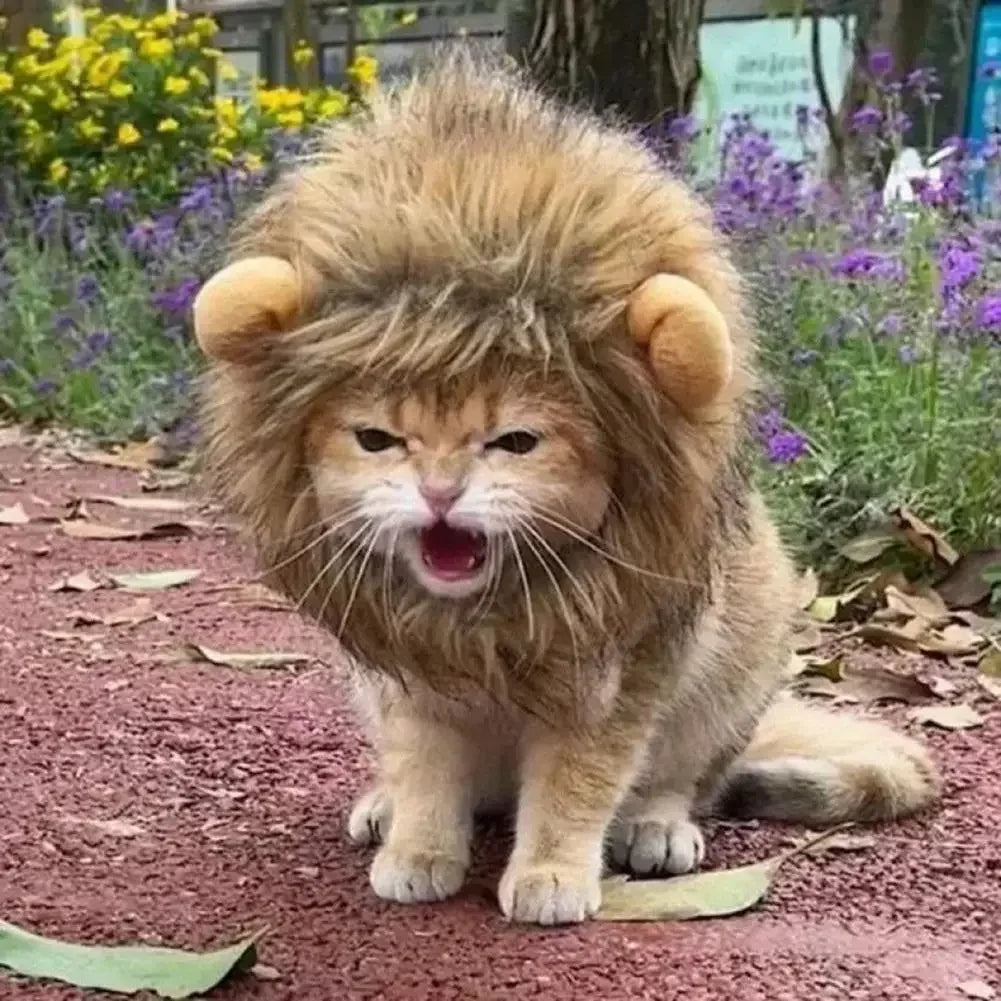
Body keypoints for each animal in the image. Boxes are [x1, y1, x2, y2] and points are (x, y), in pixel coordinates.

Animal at [193, 45, 936, 920]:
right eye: (377, 439)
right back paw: (383, 807)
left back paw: (655, 827)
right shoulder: (410, 677)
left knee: (685, 781)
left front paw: (550, 871)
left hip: (729, 677)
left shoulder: (615, 680)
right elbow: (425, 774)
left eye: (514, 442)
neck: (487, 622)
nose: (439, 493)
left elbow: (576, 787)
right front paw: (417, 846)